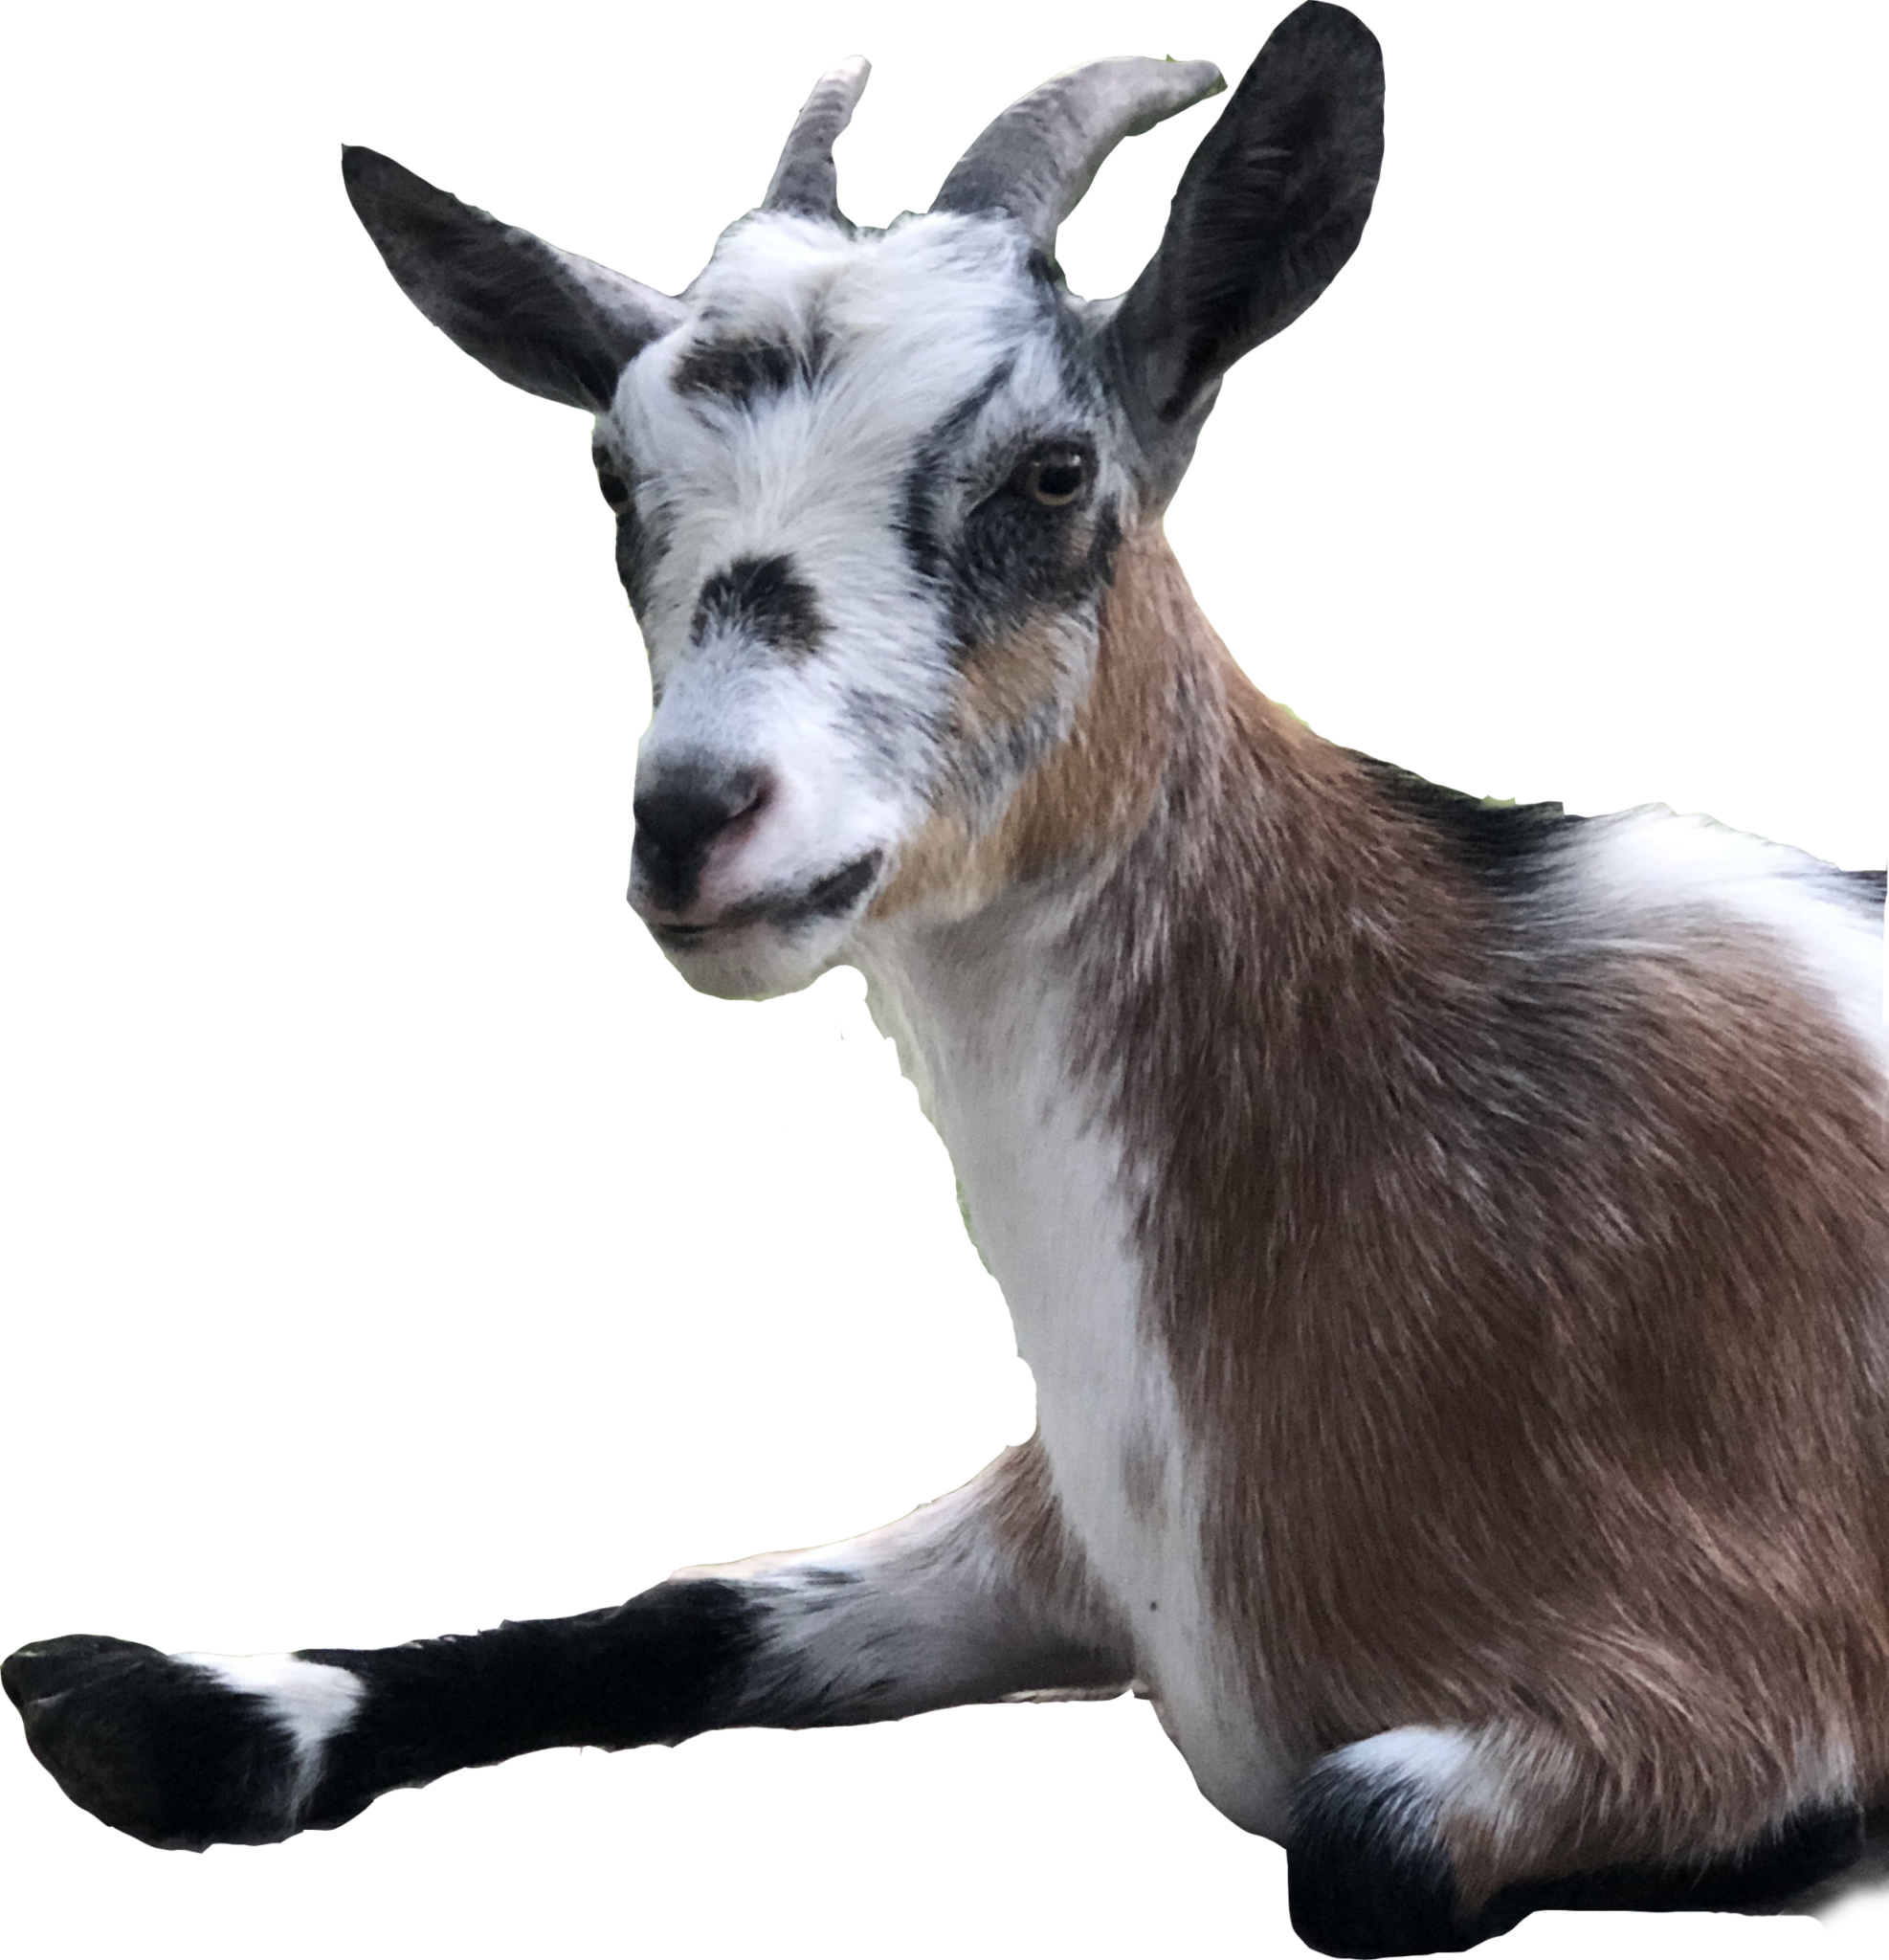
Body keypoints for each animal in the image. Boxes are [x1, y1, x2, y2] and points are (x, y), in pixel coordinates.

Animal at [7, 6, 1886, 1949]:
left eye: (1053, 472)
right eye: (611, 478)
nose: (693, 819)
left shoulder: (1740, 1653)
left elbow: (1361, 1836)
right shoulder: (1061, 1533)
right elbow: (692, 1607)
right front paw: (169, 1702)